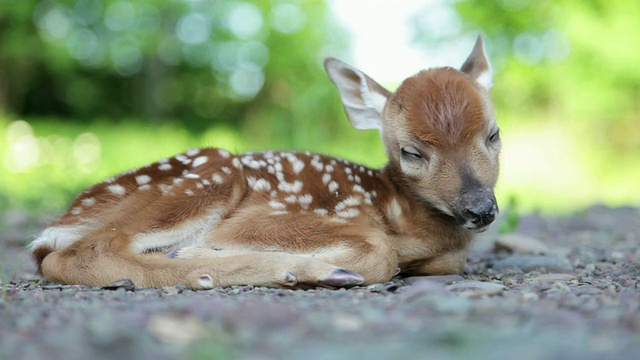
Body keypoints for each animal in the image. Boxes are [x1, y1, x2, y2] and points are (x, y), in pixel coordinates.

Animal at [28, 36, 500, 290]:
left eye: (493, 135)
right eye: (412, 152)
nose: (480, 208)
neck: (403, 215)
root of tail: (64, 218)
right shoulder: (260, 218)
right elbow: (382, 250)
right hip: (213, 171)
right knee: (80, 253)